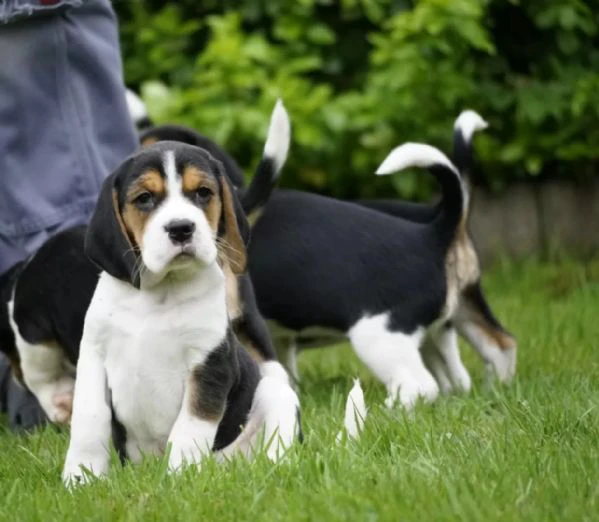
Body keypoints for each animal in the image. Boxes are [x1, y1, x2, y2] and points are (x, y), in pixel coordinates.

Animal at [62, 139, 300, 484]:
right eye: (144, 198)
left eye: (203, 192)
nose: (181, 228)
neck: (159, 293)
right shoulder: (93, 355)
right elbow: (89, 420)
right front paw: (81, 479)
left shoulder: (209, 363)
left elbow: (190, 426)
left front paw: (180, 477)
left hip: (274, 393)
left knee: (277, 442)